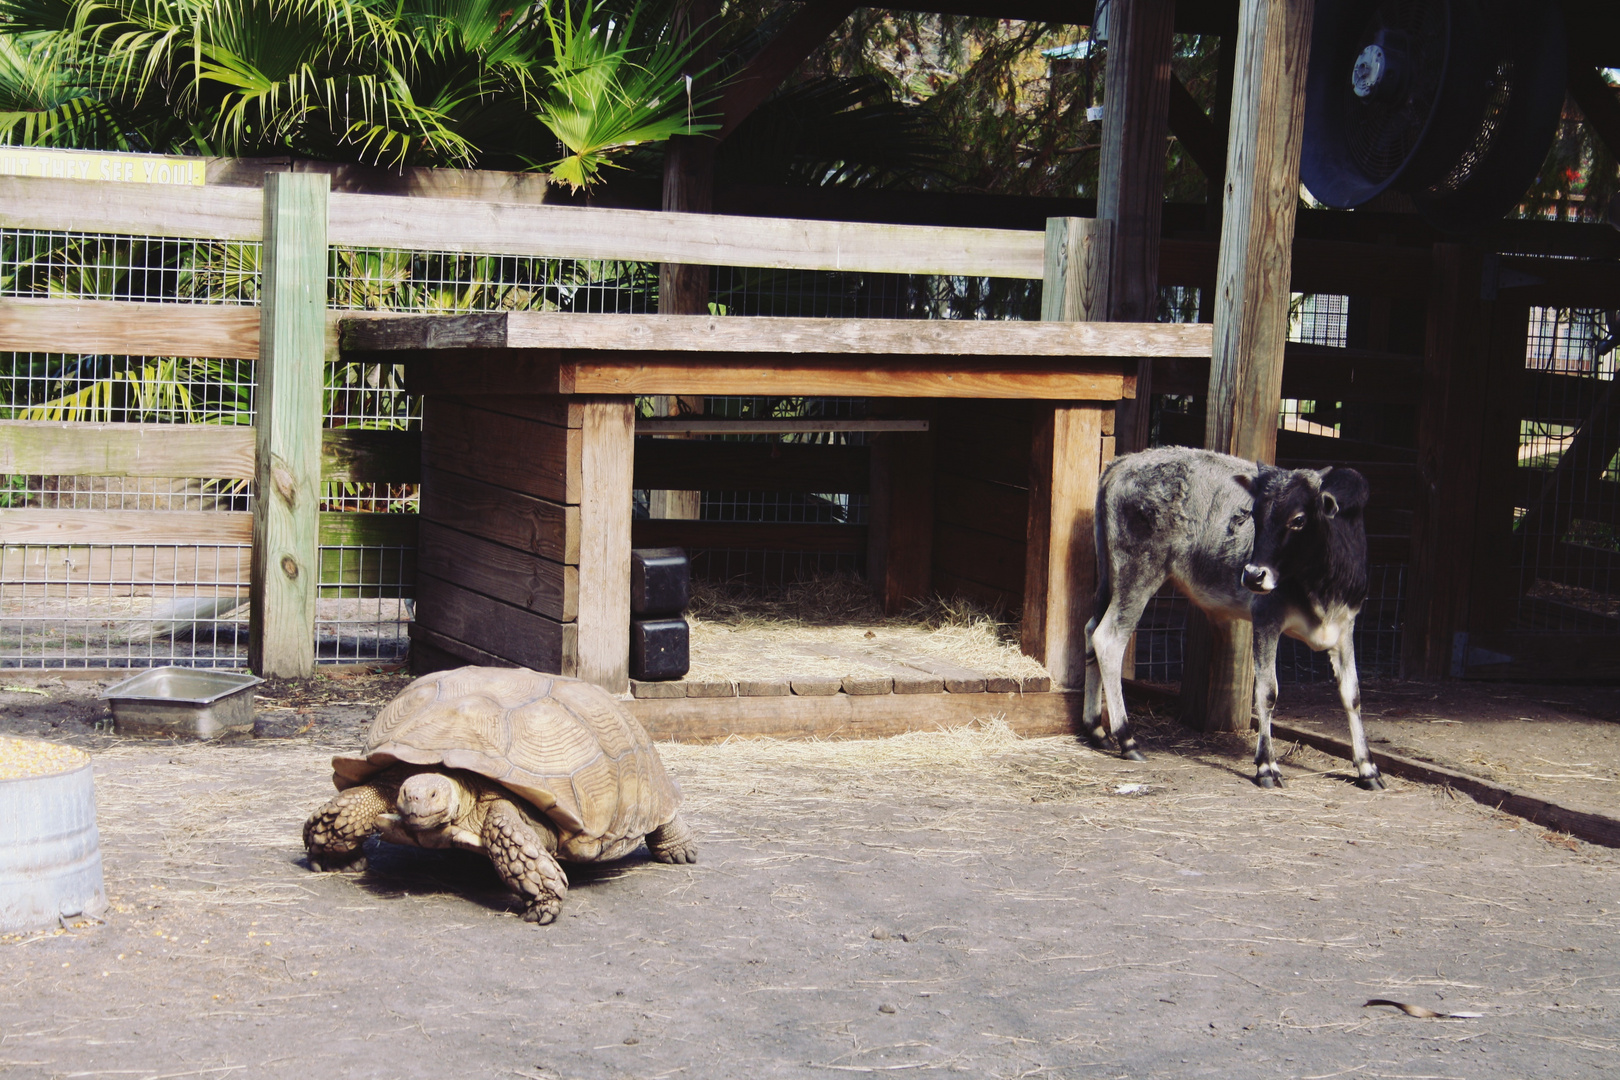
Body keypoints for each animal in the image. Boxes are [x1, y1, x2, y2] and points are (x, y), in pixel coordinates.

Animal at [1082, 446, 1386, 793]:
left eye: (1298, 519)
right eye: (1254, 515)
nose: (1253, 575)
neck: (1323, 583)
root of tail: (1123, 462)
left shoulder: (1345, 627)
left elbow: (1353, 695)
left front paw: (1367, 768)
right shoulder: (1266, 618)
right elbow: (1267, 692)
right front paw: (1267, 765)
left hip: (1111, 578)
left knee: (1091, 631)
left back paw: (1096, 729)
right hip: (1138, 573)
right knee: (1108, 640)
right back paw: (1126, 737)